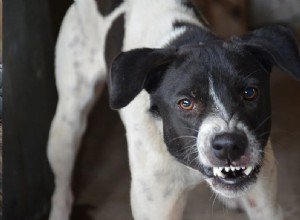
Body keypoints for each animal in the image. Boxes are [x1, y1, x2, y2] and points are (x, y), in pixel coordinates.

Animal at [46, 0, 300, 220]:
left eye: (249, 92)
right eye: (185, 103)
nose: (229, 145)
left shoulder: (266, 206)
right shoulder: (156, 208)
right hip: (67, 125)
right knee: (62, 189)